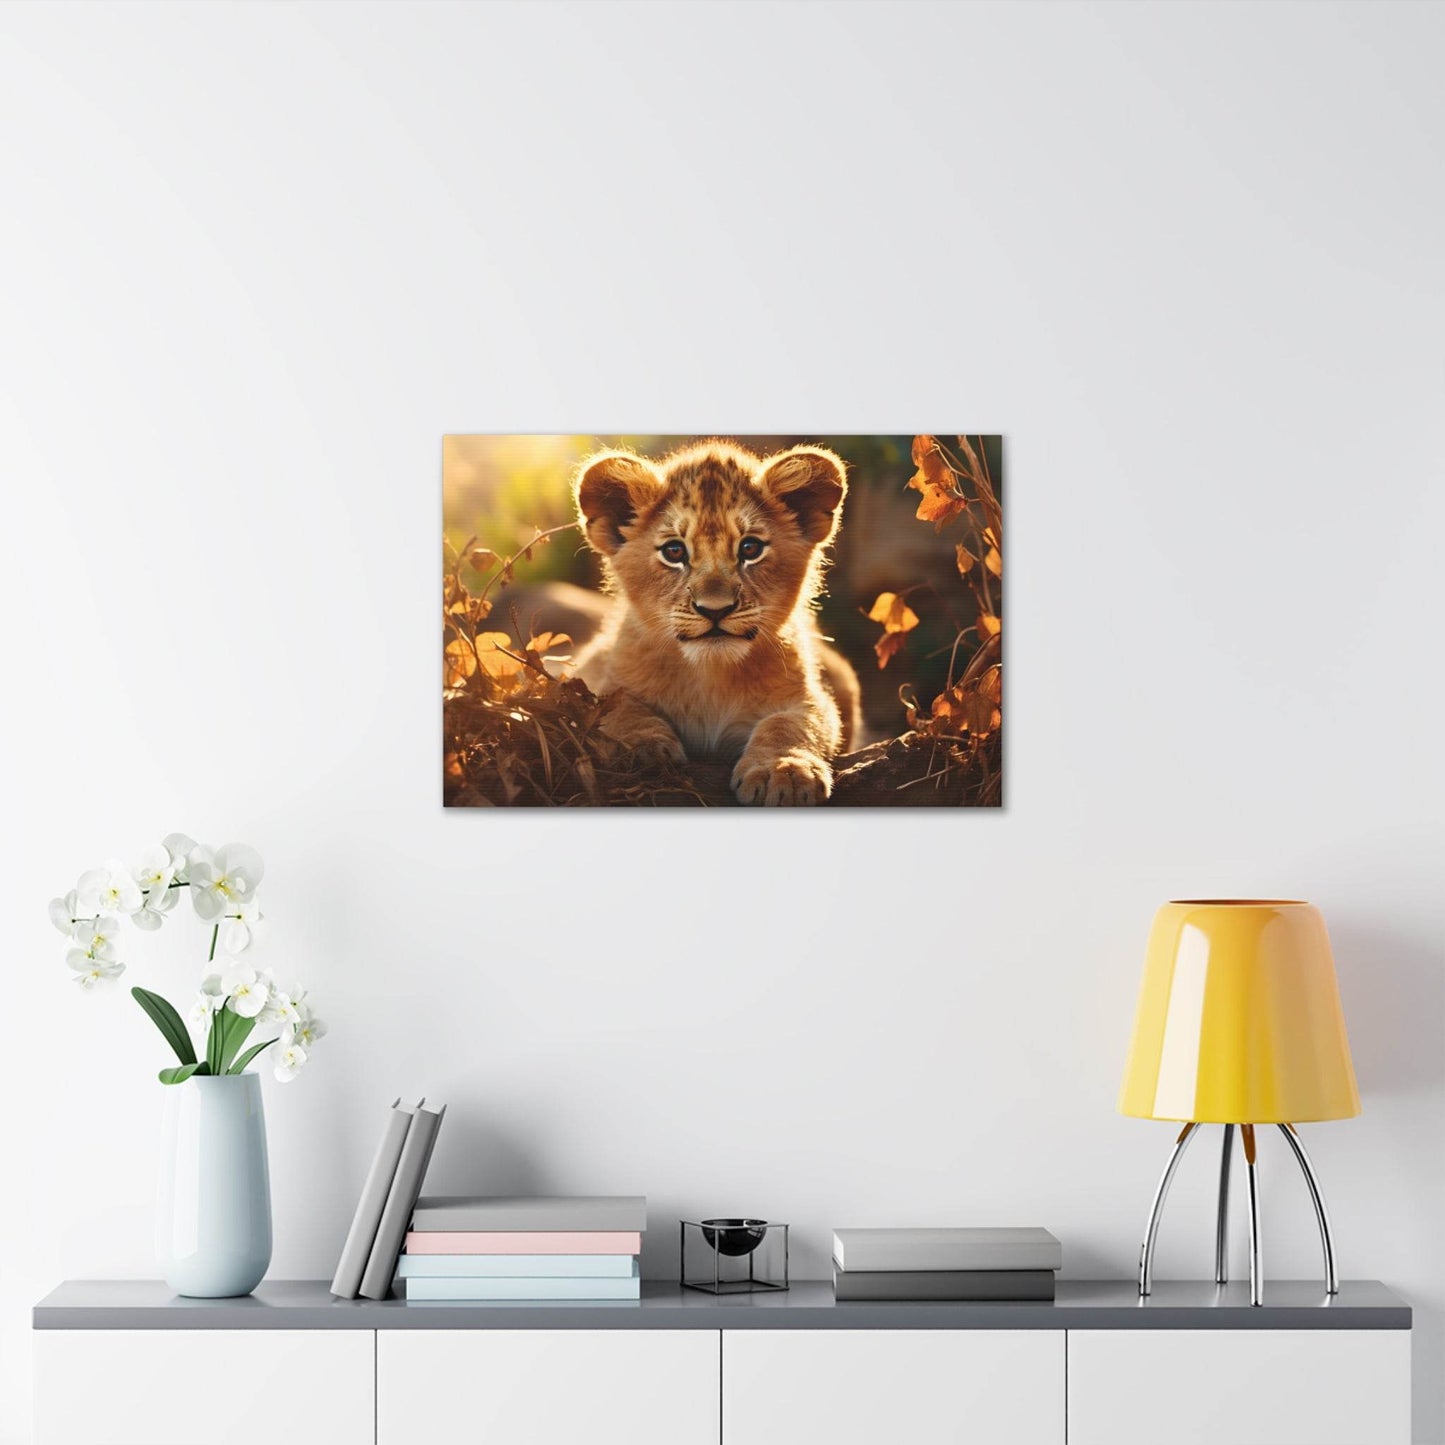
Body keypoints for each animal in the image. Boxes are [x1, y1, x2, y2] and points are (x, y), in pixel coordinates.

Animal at [571, 440, 862, 806]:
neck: (710, 676)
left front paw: (783, 771)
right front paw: (640, 748)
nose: (714, 610)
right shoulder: (596, 676)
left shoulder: (808, 697)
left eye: (750, 548)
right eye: (674, 551)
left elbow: (791, 724)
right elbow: (618, 706)